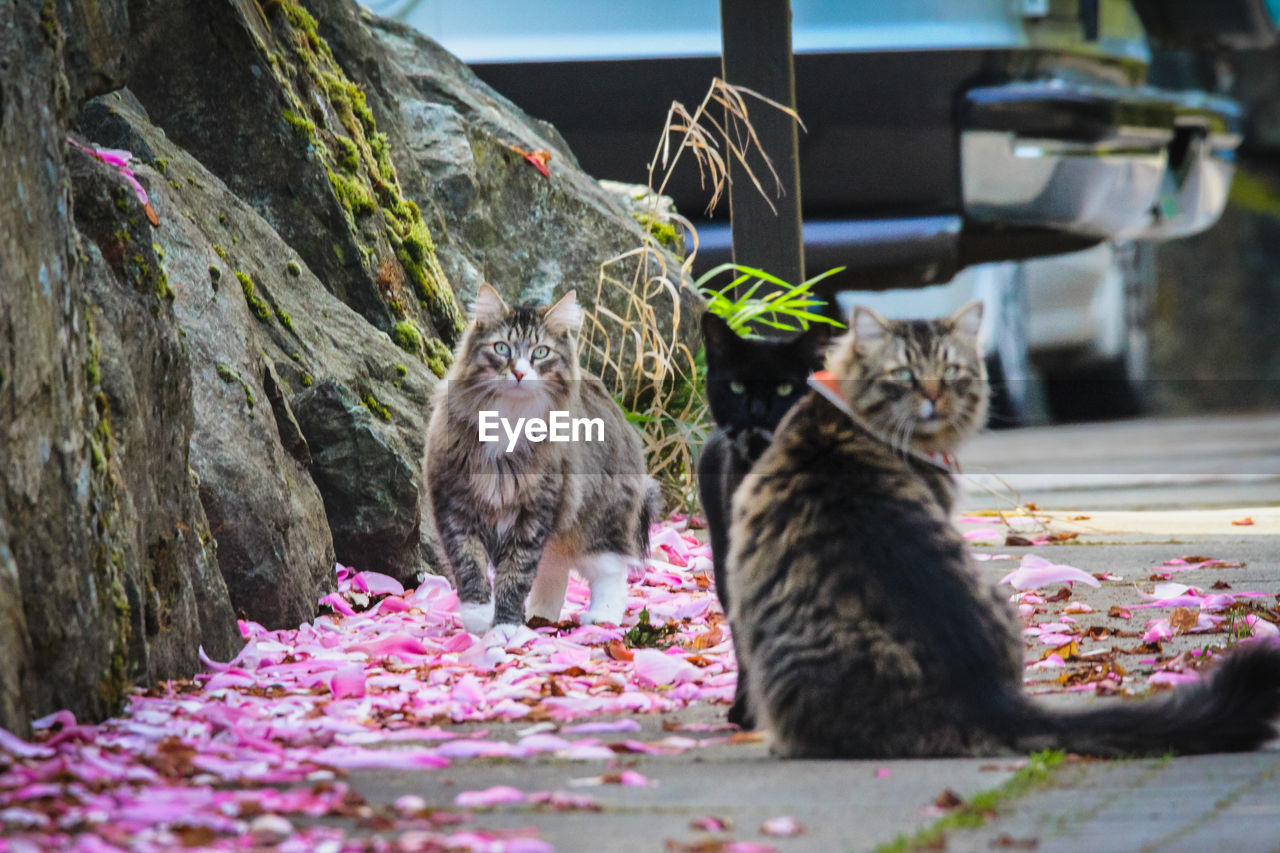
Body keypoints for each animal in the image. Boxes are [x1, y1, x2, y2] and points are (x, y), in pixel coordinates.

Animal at [427, 284, 655, 630]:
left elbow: (515, 573)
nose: (520, 373)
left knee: (612, 573)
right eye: (502, 348)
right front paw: (479, 617)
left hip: (599, 522)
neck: (509, 418)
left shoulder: (534, 512)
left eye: (541, 352)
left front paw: (505, 627)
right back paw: (540, 618)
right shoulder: (456, 507)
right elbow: (470, 566)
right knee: (555, 571)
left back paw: (600, 618)